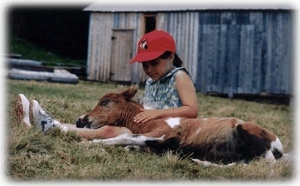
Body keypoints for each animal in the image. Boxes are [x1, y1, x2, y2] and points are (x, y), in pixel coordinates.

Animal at [75, 85, 284, 165]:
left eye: (105, 102)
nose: (80, 120)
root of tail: (278, 145)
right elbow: (131, 142)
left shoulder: (162, 133)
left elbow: (125, 136)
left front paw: (87, 144)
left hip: (246, 134)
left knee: (258, 164)